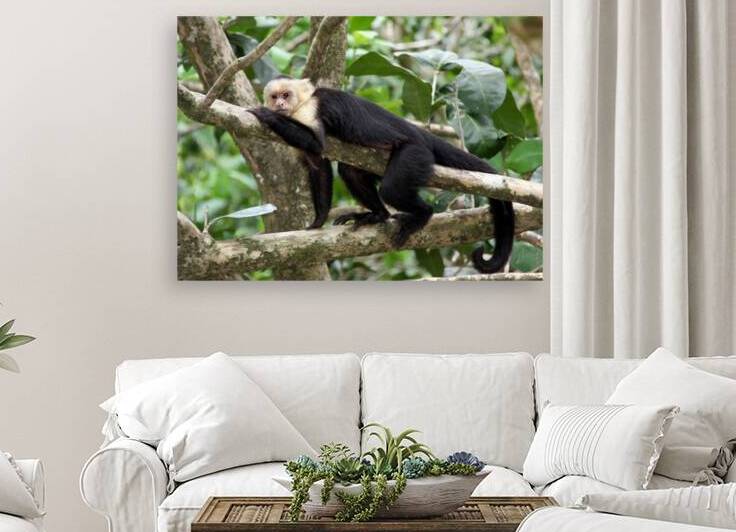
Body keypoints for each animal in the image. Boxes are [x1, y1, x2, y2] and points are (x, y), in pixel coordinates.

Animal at [249, 76, 515, 273]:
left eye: (286, 95)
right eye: (274, 96)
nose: (279, 105)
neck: (300, 105)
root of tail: (420, 133)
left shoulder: (310, 110)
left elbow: (315, 143)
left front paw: (268, 116)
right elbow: (317, 165)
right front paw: (318, 221)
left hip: (415, 153)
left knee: (391, 190)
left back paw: (422, 214)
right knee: (350, 172)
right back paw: (378, 215)